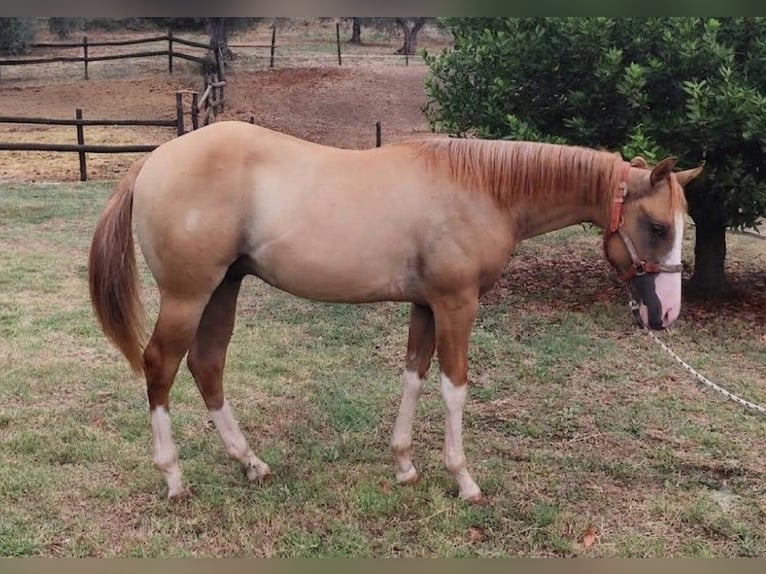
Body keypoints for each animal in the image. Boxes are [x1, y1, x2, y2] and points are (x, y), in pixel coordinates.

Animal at [88, 121, 702, 502]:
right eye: (657, 226)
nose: (666, 314)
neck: (482, 188)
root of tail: (153, 161)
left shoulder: (426, 305)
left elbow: (414, 374)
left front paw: (405, 464)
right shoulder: (457, 304)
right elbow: (454, 387)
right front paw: (463, 479)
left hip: (223, 289)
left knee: (207, 365)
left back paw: (249, 462)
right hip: (188, 295)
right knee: (160, 366)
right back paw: (174, 478)